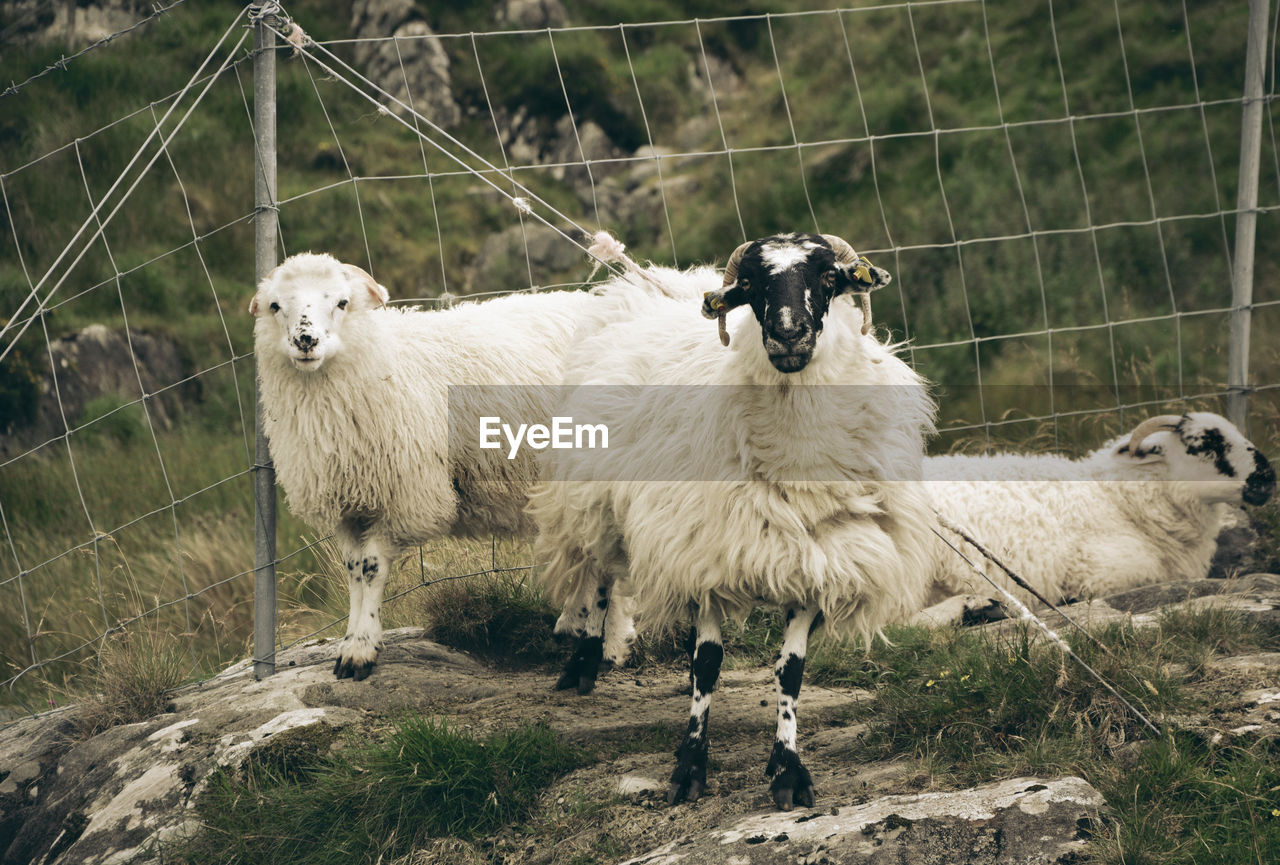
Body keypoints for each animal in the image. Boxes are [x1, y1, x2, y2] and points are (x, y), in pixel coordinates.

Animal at [250, 253, 619, 680]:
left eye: (342, 302)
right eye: (275, 306)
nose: (305, 341)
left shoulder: (408, 500)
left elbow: (372, 568)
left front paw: (361, 650)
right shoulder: (348, 504)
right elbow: (353, 570)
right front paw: (352, 641)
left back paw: (610, 643)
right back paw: (575, 624)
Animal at [921, 412, 1269, 621]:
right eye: (1206, 445)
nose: (1268, 478)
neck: (1115, 499)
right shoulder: (1102, 570)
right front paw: (1069, 599)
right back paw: (970, 608)